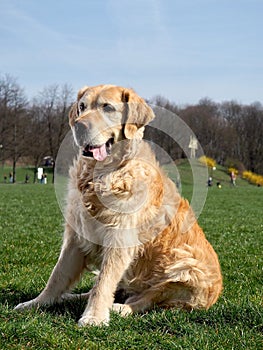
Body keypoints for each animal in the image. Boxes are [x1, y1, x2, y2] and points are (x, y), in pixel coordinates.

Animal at [14, 84, 223, 326]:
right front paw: (37, 303)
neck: (102, 174)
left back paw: (118, 308)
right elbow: (57, 276)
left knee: (143, 300)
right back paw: (70, 297)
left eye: (107, 108)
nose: (79, 125)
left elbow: (103, 283)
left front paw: (94, 317)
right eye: (82, 106)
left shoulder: (120, 238)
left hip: (184, 269)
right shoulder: (76, 236)